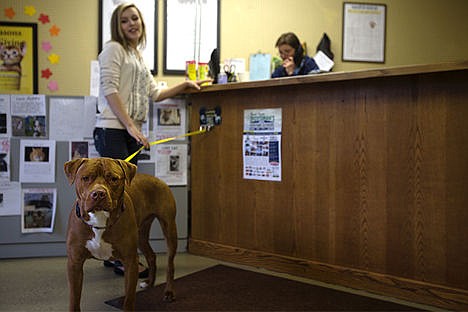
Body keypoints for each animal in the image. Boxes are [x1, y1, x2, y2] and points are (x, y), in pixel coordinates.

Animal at [64, 157, 177, 310]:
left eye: (113, 178)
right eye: (86, 178)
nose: (98, 193)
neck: (99, 220)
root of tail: (157, 179)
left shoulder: (130, 262)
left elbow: (129, 298)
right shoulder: (74, 263)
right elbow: (74, 299)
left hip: (169, 228)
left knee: (170, 264)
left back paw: (169, 292)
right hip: (141, 235)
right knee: (151, 256)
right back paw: (149, 283)